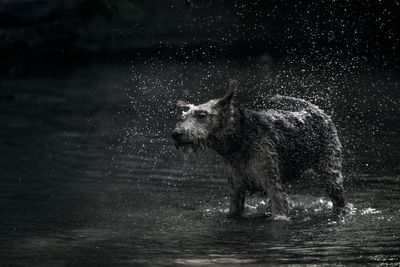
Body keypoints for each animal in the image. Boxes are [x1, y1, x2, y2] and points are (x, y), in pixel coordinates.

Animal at [171, 80, 344, 219]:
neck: (240, 140)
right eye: (183, 117)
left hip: (331, 173)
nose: (176, 134)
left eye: (202, 115)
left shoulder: (274, 186)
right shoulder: (236, 188)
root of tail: (315, 110)